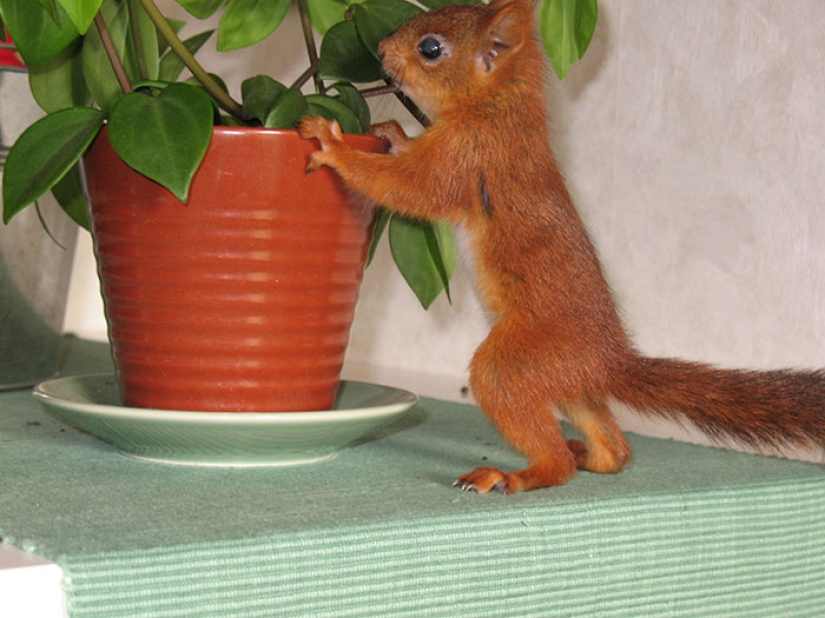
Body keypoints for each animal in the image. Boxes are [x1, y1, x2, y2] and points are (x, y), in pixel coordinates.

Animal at [298, 0, 825, 493]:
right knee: (613, 448)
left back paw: (515, 475)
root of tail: (608, 360)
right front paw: (390, 133)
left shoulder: (470, 154)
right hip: (570, 387)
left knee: (549, 453)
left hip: (516, 364)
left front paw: (334, 145)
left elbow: (411, 189)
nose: (381, 49)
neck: (498, 104)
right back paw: (589, 453)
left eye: (431, 47)